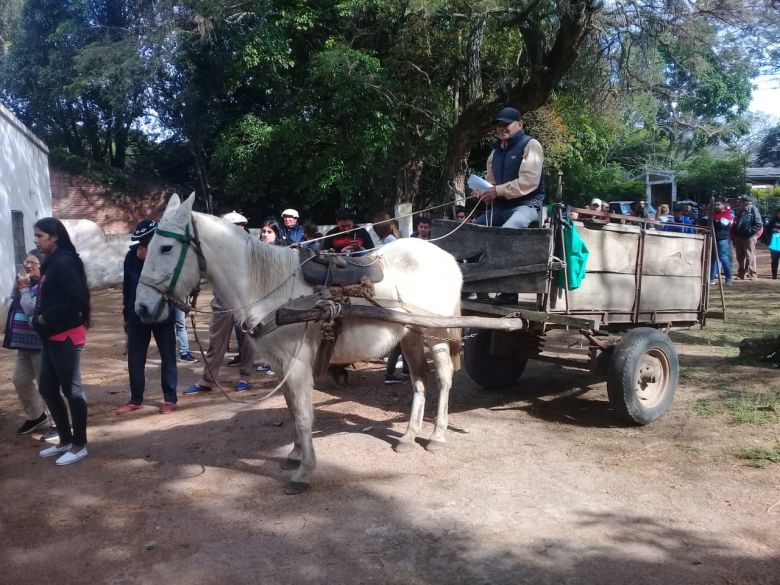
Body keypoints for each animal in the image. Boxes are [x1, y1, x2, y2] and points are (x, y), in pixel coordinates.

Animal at [135, 193, 464, 492]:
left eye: (166, 247)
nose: (142, 308)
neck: (270, 289)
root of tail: (446, 257)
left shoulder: (297, 365)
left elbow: (304, 416)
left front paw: (304, 471)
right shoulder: (281, 366)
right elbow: (293, 410)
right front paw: (295, 455)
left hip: (436, 334)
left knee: (444, 378)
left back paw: (437, 435)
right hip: (411, 335)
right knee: (419, 380)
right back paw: (408, 436)